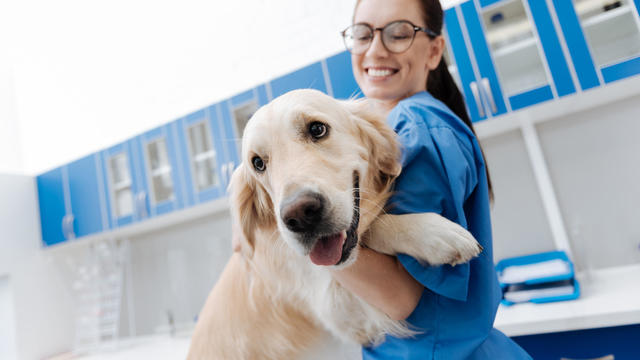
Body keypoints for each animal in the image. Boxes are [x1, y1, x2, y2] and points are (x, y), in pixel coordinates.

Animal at [188, 88, 482, 358]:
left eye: (317, 129)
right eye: (258, 163)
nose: (299, 215)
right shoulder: (341, 309)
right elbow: (373, 227)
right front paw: (432, 235)